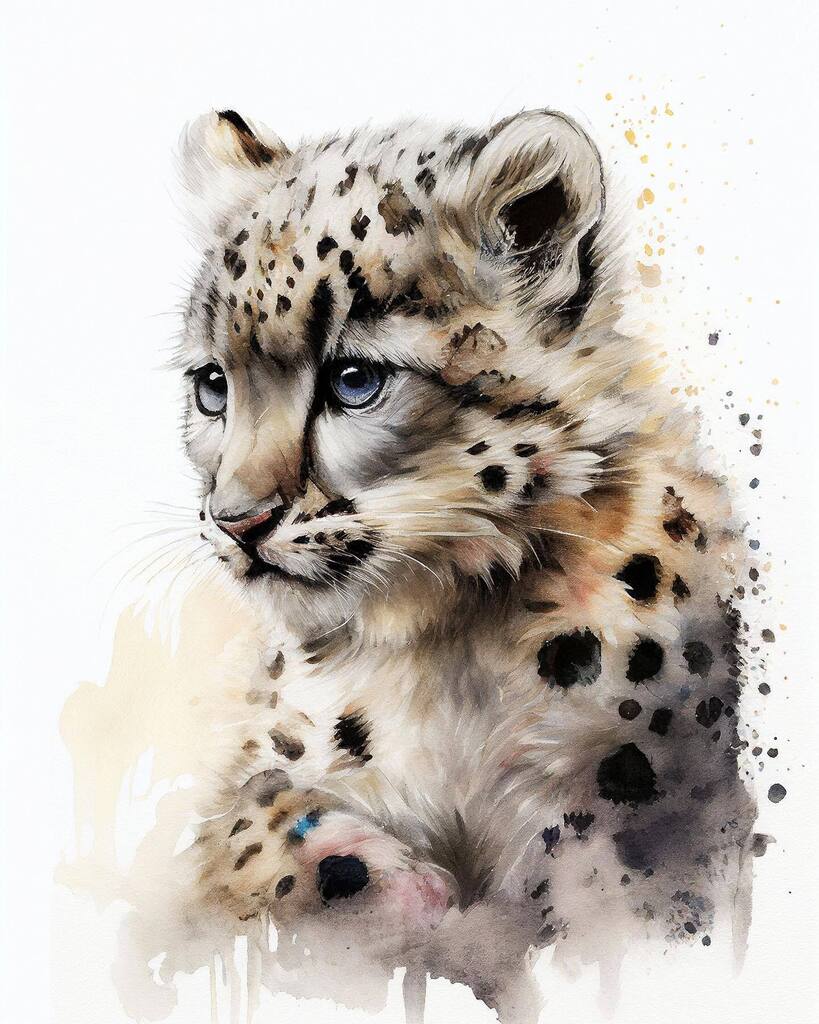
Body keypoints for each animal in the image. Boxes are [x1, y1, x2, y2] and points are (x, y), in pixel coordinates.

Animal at [169, 107, 758, 1022]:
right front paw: (389, 888)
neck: (432, 659)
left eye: (354, 378)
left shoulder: (638, 816)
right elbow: (245, 826)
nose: (237, 520)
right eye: (212, 385)